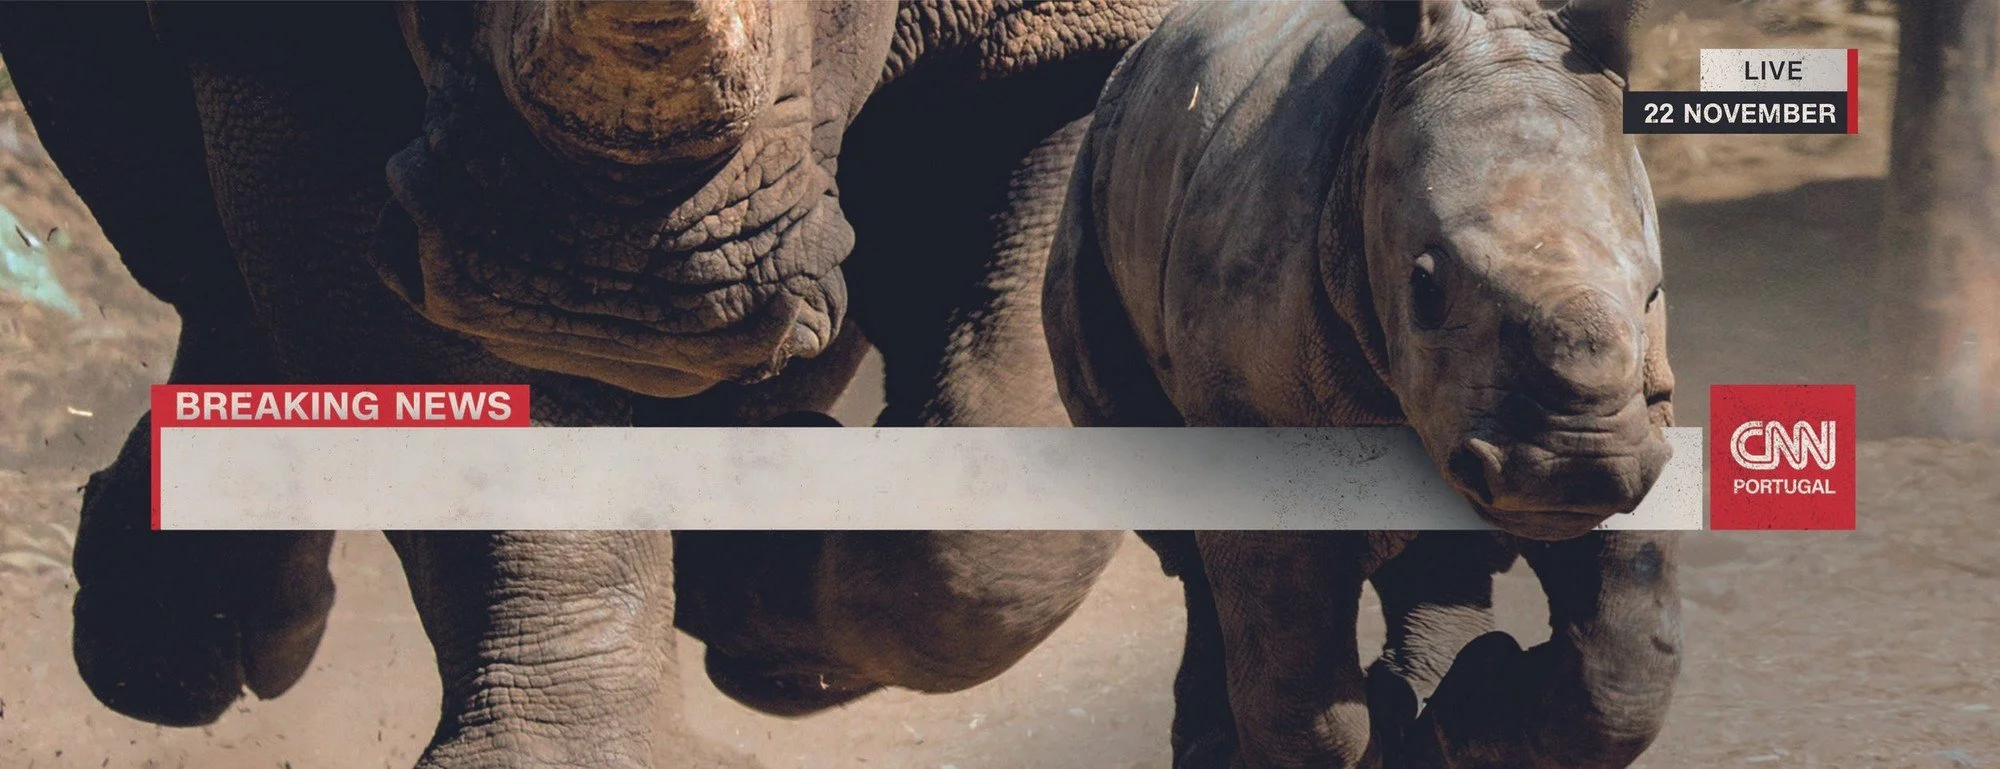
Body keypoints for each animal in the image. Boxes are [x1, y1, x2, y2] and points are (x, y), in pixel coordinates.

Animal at [0, 1, 1173, 766]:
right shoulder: (291, 54)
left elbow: (996, 511)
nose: (608, 284)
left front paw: (748, 601)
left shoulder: (1066, 36)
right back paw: (174, 660)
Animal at [1043, 1, 1683, 767]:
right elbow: (1301, 700)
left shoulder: (1640, 417)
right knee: (1184, 544)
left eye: (1654, 294)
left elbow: (1623, 671)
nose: (1570, 469)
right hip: (1091, 200)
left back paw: (1449, 697)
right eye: (1425, 288)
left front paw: (1465, 720)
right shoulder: (1256, 423)